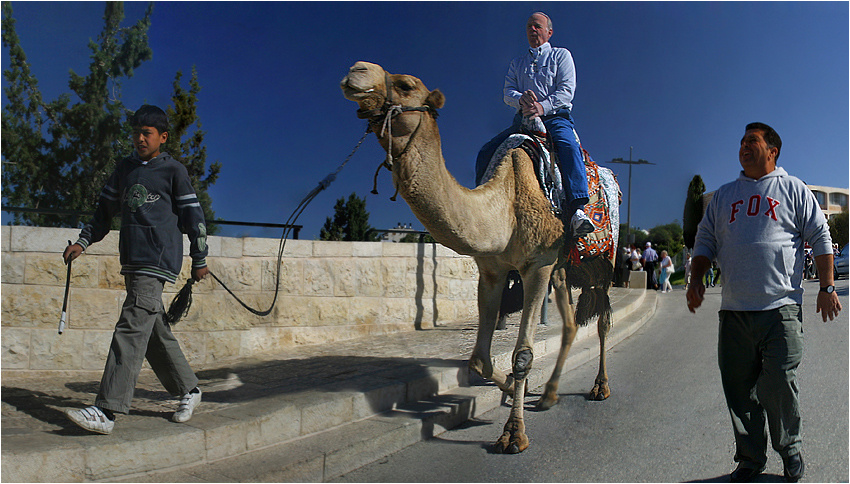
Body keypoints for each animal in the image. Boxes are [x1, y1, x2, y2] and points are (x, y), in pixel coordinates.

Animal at [341, 62, 619, 454]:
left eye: (406, 85)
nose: (356, 71)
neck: (506, 204)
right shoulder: (492, 270)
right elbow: (478, 359)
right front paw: (513, 390)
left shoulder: (538, 264)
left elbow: (523, 354)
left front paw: (513, 434)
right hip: (564, 268)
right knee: (569, 324)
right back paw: (549, 395)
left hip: (603, 259)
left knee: (603, 319)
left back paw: (600, 387)